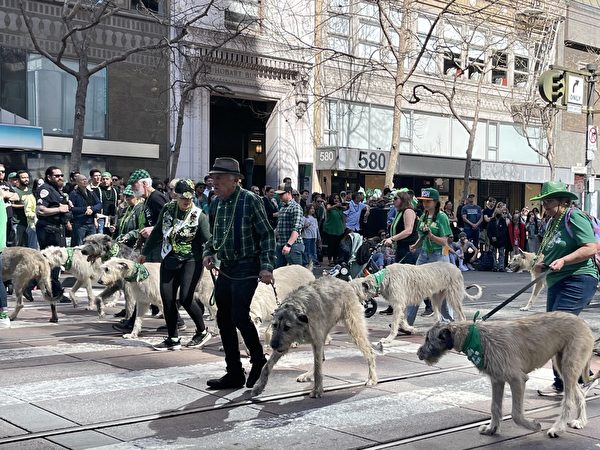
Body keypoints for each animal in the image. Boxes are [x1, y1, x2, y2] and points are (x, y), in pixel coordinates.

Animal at [352, 262, 482, 342]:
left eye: (355, 290)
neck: (384, 277)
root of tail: (457, 268)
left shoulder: (398, 304)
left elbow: (395, 323)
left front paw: (389, 339)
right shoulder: (402, 305)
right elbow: (403, 320)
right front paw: (411, 329)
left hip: (453, 297)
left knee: (462, 317)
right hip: (435, 298)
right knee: (438, 317)